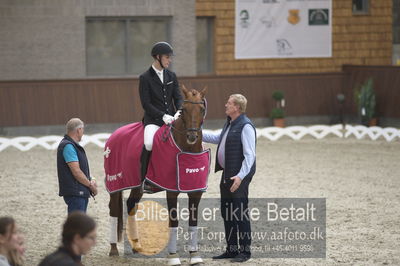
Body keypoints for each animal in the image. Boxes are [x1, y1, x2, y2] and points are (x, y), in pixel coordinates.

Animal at [107, 86, 206, 264]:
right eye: (183, 110)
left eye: (202, 109)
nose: (192, 136)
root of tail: (114, 134)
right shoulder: (171, 191)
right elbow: (173, 221)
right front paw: (173, 258)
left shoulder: (196, 192)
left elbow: (193, 221)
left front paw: (195, 256)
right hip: (116, 184)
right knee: (113, 210)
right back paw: (113, 250)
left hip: (136, 186)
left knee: (131, 205)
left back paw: (136, 246)